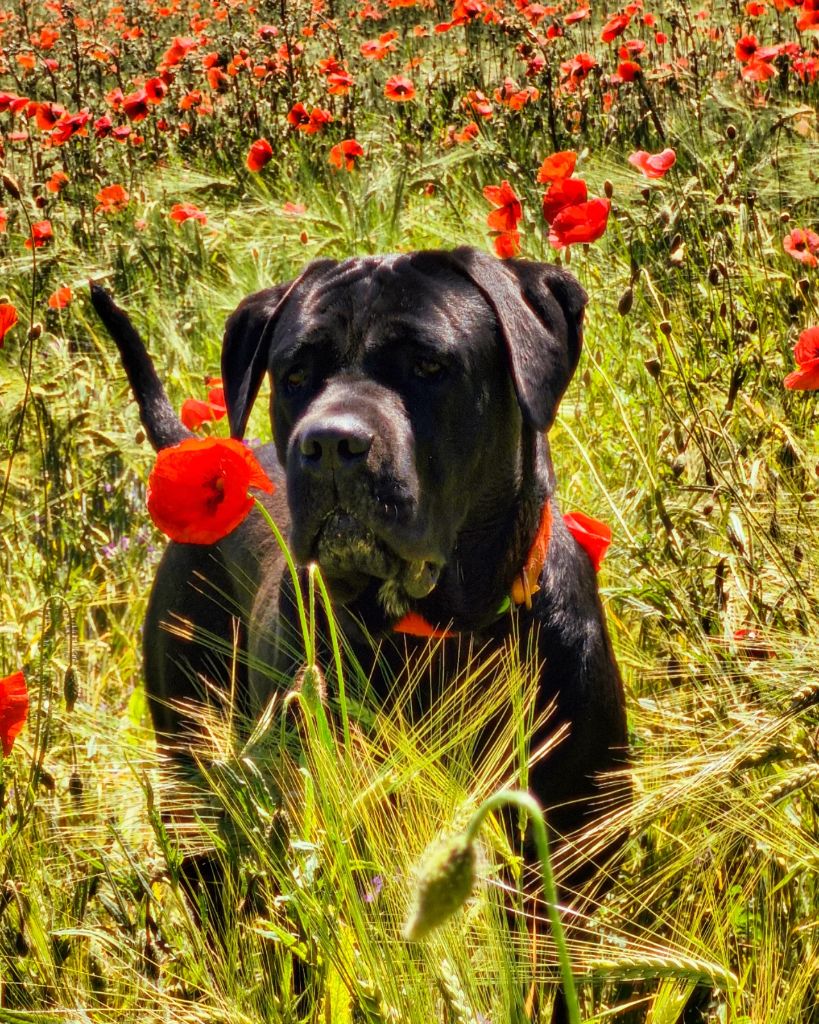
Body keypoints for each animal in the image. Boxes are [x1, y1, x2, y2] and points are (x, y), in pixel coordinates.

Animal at [96, 245, 630, 872]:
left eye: (428, 365)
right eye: (294, 374)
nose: (330, 443)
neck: (441, 632)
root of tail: (197, 454)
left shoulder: (581, 836)